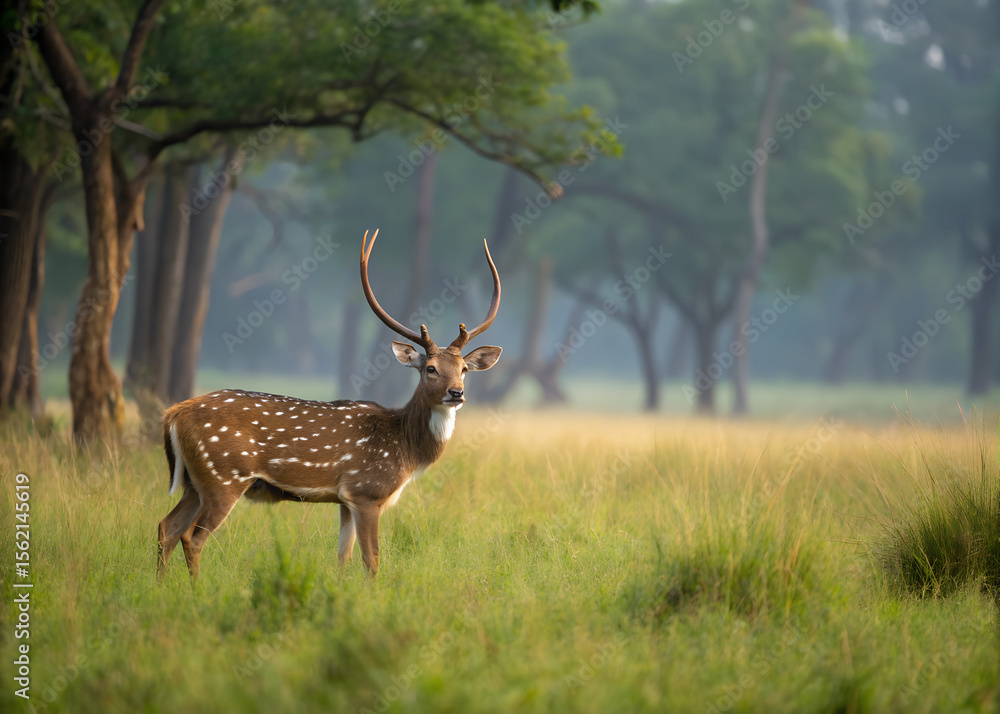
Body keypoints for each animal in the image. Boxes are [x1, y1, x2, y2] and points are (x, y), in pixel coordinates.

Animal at [156, 229, 502, 580]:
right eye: (430, 368)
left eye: (463, 368)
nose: (456, 393)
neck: (405, 451)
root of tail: (172, 415)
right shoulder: (366, 491)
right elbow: (372, 559)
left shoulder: (345, 501)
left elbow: (342, 557)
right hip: (224, 475)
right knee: (191, 536)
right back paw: (195, 588)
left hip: (194, 482)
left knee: (166, 527)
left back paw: (162, 585)